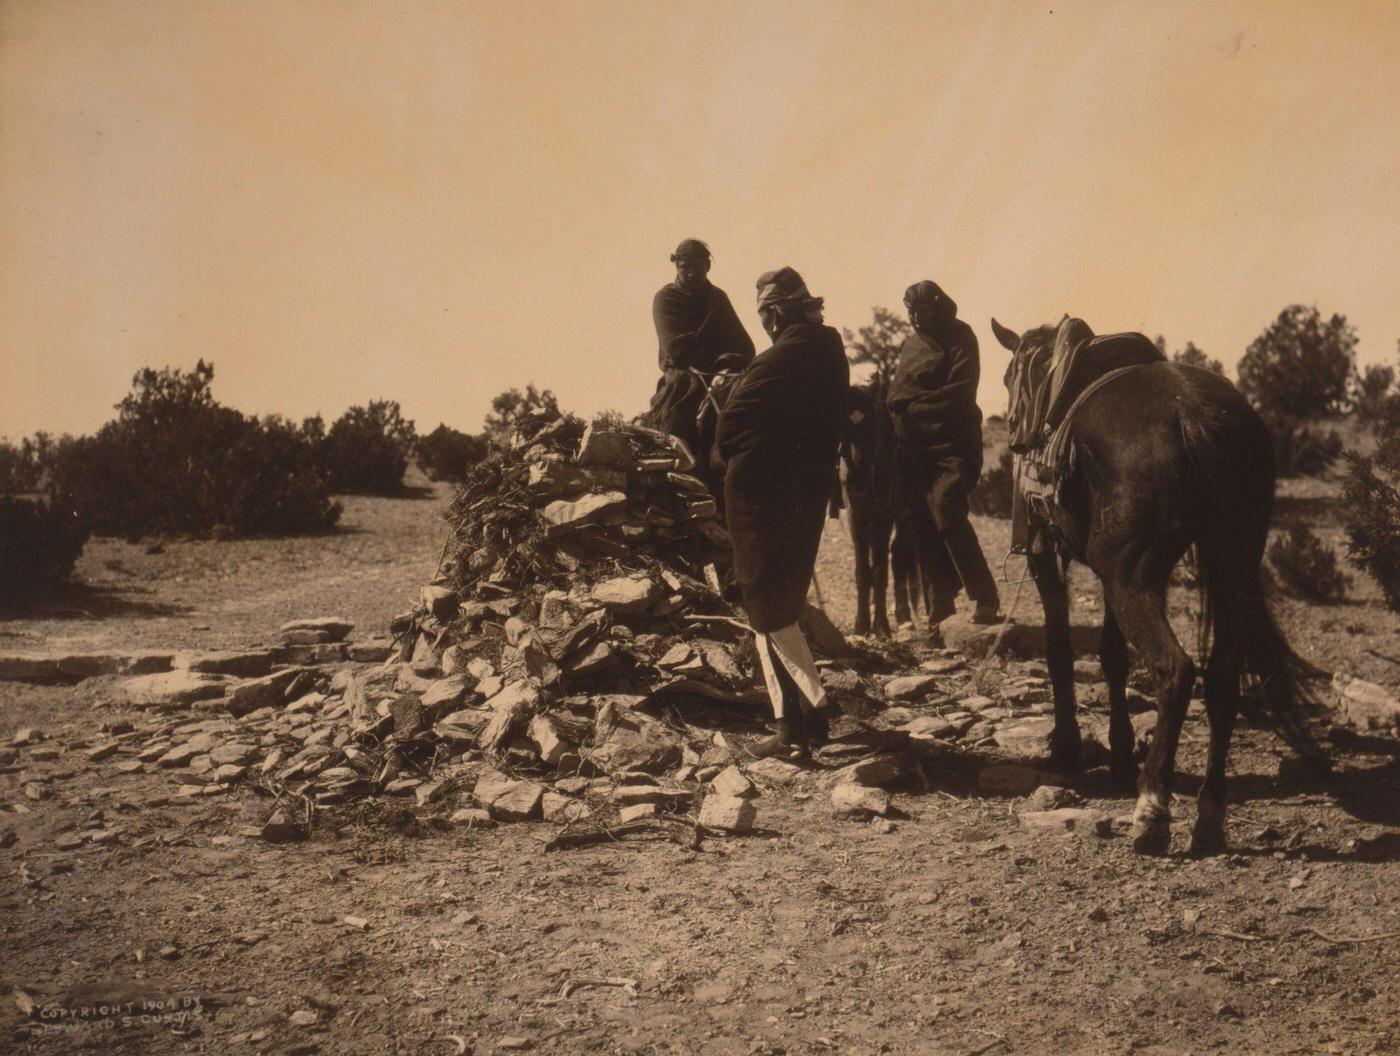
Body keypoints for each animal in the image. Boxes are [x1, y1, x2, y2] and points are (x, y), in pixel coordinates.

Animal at [991, 316, 1316, 851]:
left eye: (1009, 375)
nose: (1017, 436)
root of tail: (1193, 413)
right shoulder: (1106, 575)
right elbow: (1111, 655)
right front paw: (1120, 752)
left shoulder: (1049, 556)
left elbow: (1061, 649)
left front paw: (1067, 747)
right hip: (1229, 566)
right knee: (1223, 677)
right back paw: (1208, 817)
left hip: (1135, 580)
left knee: (1175, 670)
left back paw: (1152, 811)